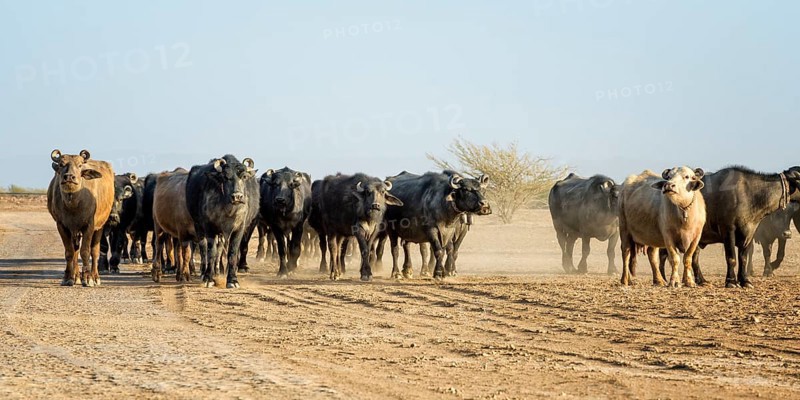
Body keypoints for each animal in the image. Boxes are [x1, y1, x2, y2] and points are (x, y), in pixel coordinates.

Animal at [47, 149, 115, 287]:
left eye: (79, 165)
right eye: (61, 164)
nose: (69, 177)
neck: (73, 203)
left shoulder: (89, 225)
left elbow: (86, 251)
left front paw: (88, 278)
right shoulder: (62, 225)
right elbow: (69, 252)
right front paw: (68, 277)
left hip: (99, 227)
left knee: (94, 251)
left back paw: (95, 277)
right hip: (75, 231)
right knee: (75, 251)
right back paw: (76, 276)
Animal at [186, 155, 259, 288]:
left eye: (244, 176)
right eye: (225, 177)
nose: (237, 196)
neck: (228, 210)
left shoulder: (239, 229)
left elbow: (232, 253)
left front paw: (232, 280)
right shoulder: (209, 228)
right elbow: (211, 252)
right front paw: (208, 278)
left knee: (220, 249)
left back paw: (217, 271)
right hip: (198, 226)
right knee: (204, 248)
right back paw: (204, 272)